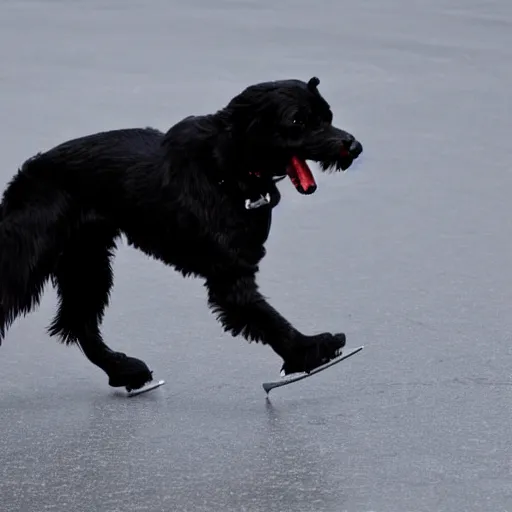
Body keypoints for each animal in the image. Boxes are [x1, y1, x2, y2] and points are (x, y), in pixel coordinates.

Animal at [0, 78, 362, 392]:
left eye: (327, 117)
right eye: (298, 121)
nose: (353, 145)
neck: (226, 168)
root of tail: (26, 176)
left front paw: (305, 353)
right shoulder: (230, 277)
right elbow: (267, 318)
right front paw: (309, 350)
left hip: (87, 261)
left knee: (80, 324)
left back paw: (125, 370)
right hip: (28, 262)